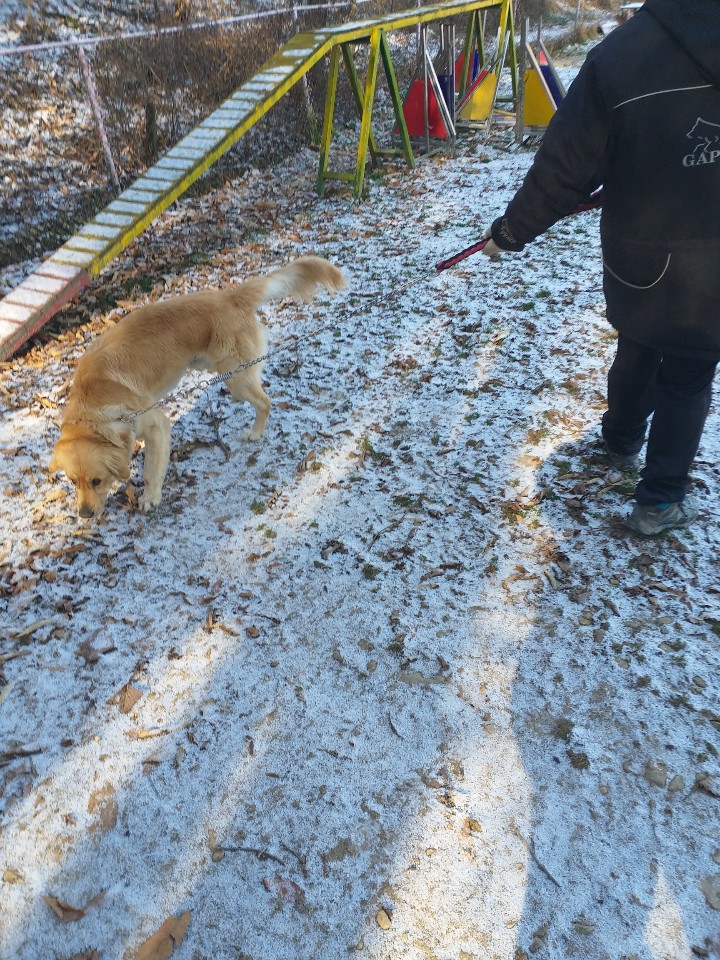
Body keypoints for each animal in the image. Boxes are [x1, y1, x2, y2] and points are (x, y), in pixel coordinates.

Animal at [50, 255, 346, 516]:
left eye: (96, 481)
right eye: (73, 481)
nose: (85, 515)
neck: (94, 402)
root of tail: (229, 296)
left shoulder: (157, 426)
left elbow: (151, 471)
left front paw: (150, 497)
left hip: (234, 375)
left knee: (264, 401)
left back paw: (256, 431)